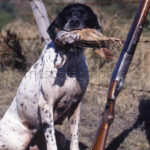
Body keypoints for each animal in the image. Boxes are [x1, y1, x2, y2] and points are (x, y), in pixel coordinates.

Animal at [0, 3, 101, 150]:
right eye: (67, 15)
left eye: (85, 14)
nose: (74, 21)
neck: (70, 62)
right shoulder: (47, 105)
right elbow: (51, 141)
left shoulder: (76, 105)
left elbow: (74, 136)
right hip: (17, 142)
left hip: (61, 137)